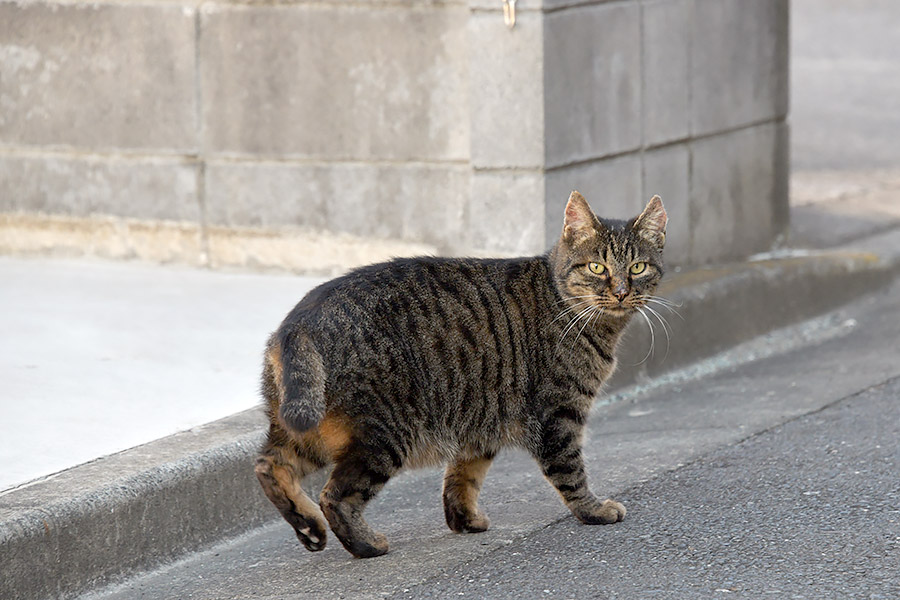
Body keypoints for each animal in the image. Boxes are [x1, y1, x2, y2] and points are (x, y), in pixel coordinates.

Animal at [256, 192, 664, 556]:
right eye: (597, 267)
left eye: (638, 267)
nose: (621, 291)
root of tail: (298, 323)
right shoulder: (558, 415)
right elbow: (571, 472)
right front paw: (594, 510)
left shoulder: (480, 421)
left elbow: (462, 478)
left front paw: (464, 520)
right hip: (383, 436)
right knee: (335, 495)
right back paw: (366, 545)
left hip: (304, 428)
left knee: (269, 465)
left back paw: (308, 528)